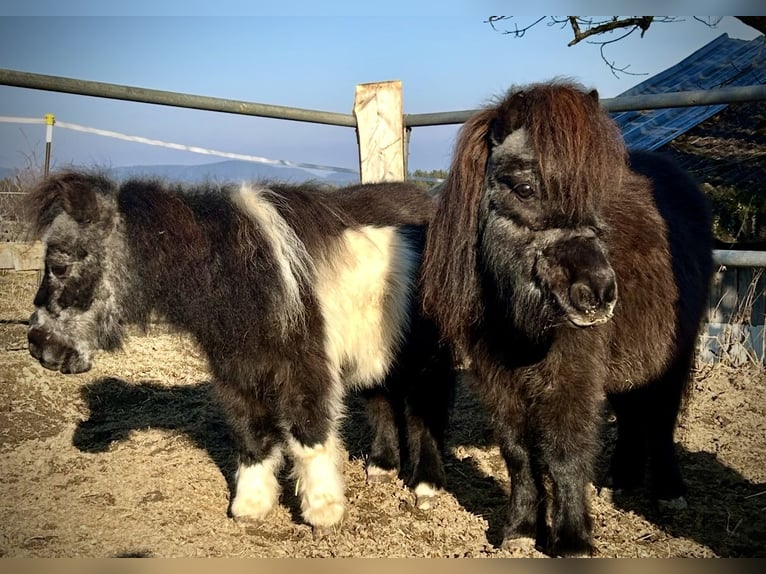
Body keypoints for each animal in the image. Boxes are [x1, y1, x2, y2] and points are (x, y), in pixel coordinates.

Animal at [27, 173, 452, 536]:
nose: (38, 346)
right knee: (382, 398)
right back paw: (381, 467)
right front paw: (251, 506)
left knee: (424, 409)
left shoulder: (305, 371)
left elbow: (309, 436)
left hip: (426, 358)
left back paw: (426, 487)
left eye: (59, 265)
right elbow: (252, 435)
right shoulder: (238, 372)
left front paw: (323, 512)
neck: (242, 274)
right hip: (377, 352)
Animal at [420, 81, 712, 560]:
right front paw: (520, 529)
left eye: (596, 195)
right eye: (523, 187)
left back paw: (670, 491)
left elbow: (565, 452)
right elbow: (518, 451)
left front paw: (573, 540)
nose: (598, 294)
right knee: (631, 413)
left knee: (662, 416)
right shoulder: (496, 378)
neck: (515, 320)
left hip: (674, 352)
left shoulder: (570, 374)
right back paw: (620, 481)